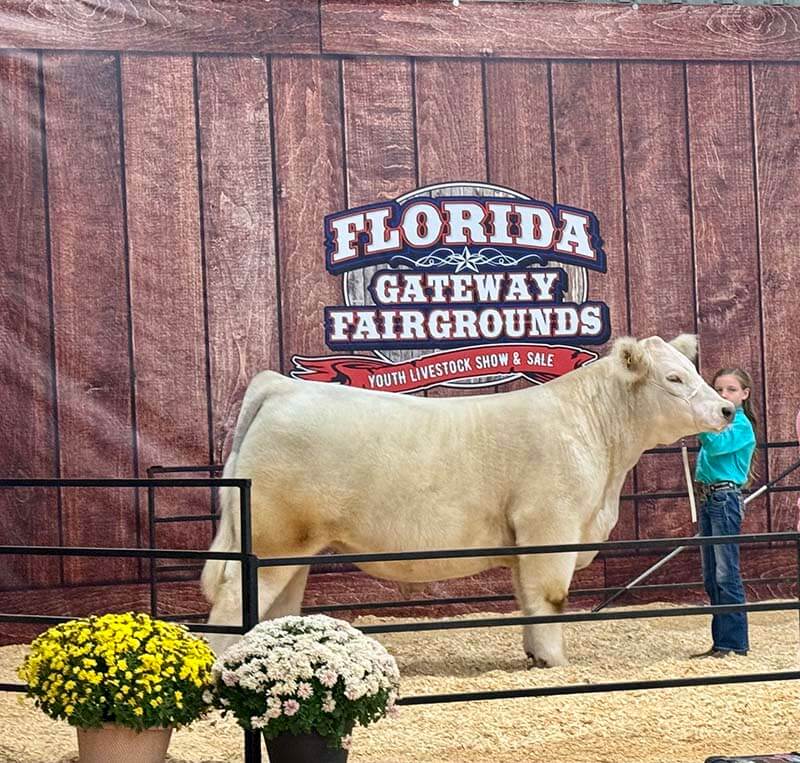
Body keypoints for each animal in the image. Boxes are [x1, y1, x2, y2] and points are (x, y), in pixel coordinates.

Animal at [201, 334, 732, 666]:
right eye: (674, 379)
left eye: (693, 371)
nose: (728, 409)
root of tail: (280, 386)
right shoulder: (551, 525)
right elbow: (551, 597)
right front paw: (557, 660)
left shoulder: (523, 540)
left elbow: (527, 599)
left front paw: (535, 655)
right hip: (273, 539)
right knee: (234, 601)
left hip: (295, 548)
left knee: (276, 606)